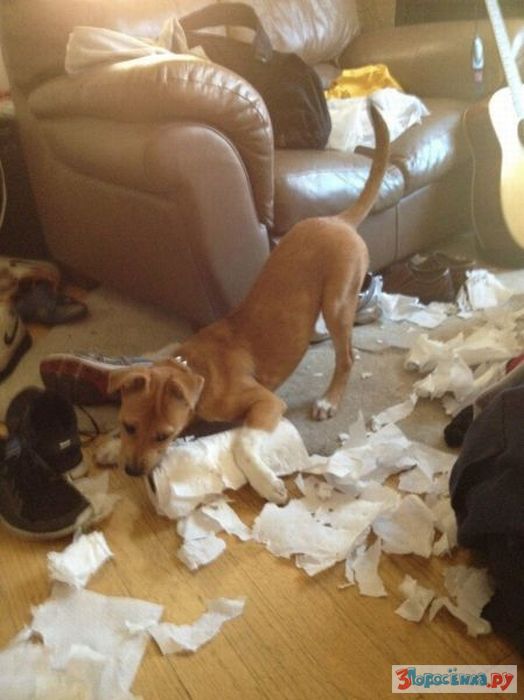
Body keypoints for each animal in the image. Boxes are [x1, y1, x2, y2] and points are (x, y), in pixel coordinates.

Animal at [109, 104, 390, 503]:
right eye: (127, 425)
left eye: (164, 436)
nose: (133, 471)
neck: (197, 368)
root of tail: (337, 219)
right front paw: (107, 446)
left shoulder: (266, 404)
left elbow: (242, 441)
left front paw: (264, 481)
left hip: (337, 302)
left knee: (348, 356)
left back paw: (329, 400)